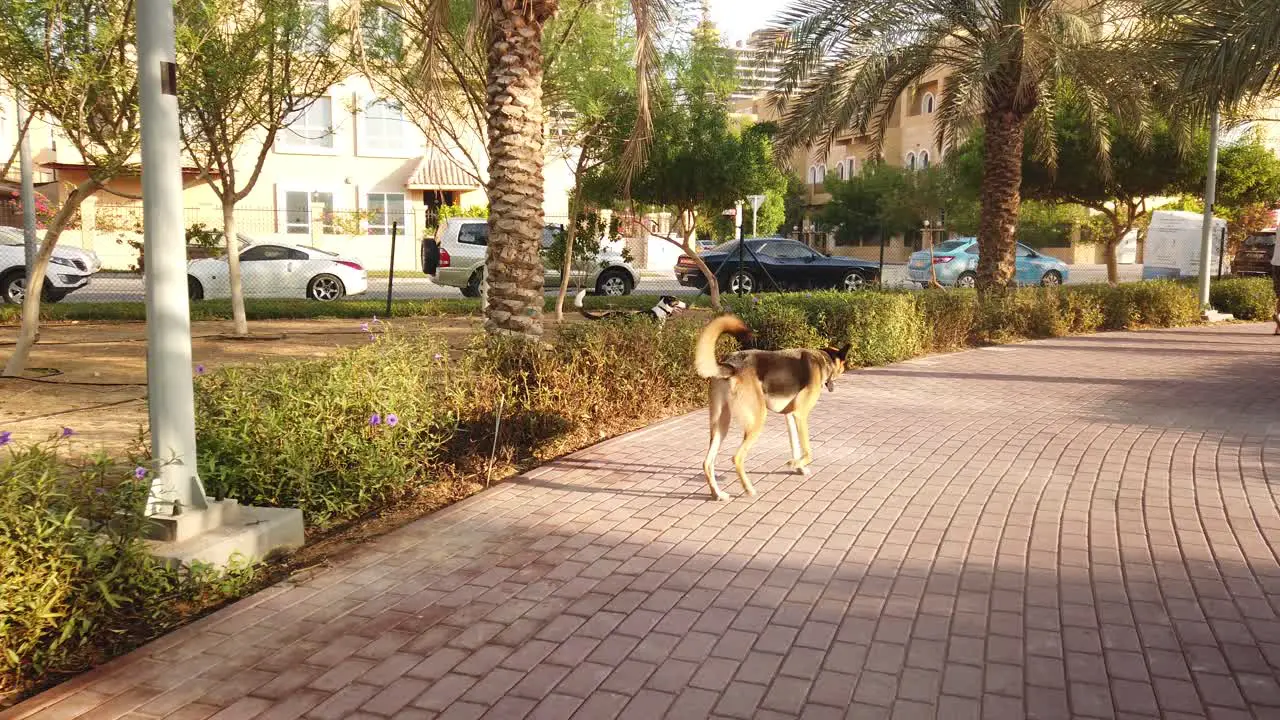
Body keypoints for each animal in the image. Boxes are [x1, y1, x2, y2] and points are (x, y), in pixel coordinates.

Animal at [696, 313, 844, 499]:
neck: (822, 358)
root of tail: (731, 366)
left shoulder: (790, 416)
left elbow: (795, 446)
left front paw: (799, 466)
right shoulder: (800, 415)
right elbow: (808, 451)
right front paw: (794, 463)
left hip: (720, 425)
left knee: (707, 462)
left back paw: (718, 494)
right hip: (757, 421)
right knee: (736, 458)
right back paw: (749, 489)